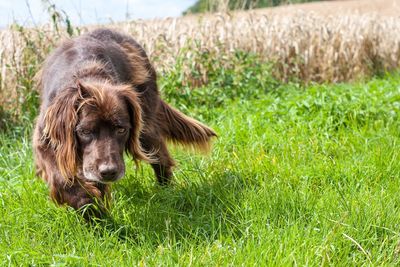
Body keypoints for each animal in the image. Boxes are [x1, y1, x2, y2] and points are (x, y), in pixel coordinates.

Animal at [33, 28, 216, 213]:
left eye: (121, 130)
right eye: (85, 131)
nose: (108, 172)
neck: (86, 73)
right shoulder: (46, 140)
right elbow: (63, 180)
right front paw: (91, 208)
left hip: (145, 127)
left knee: (160, 157)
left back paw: (167, 193)